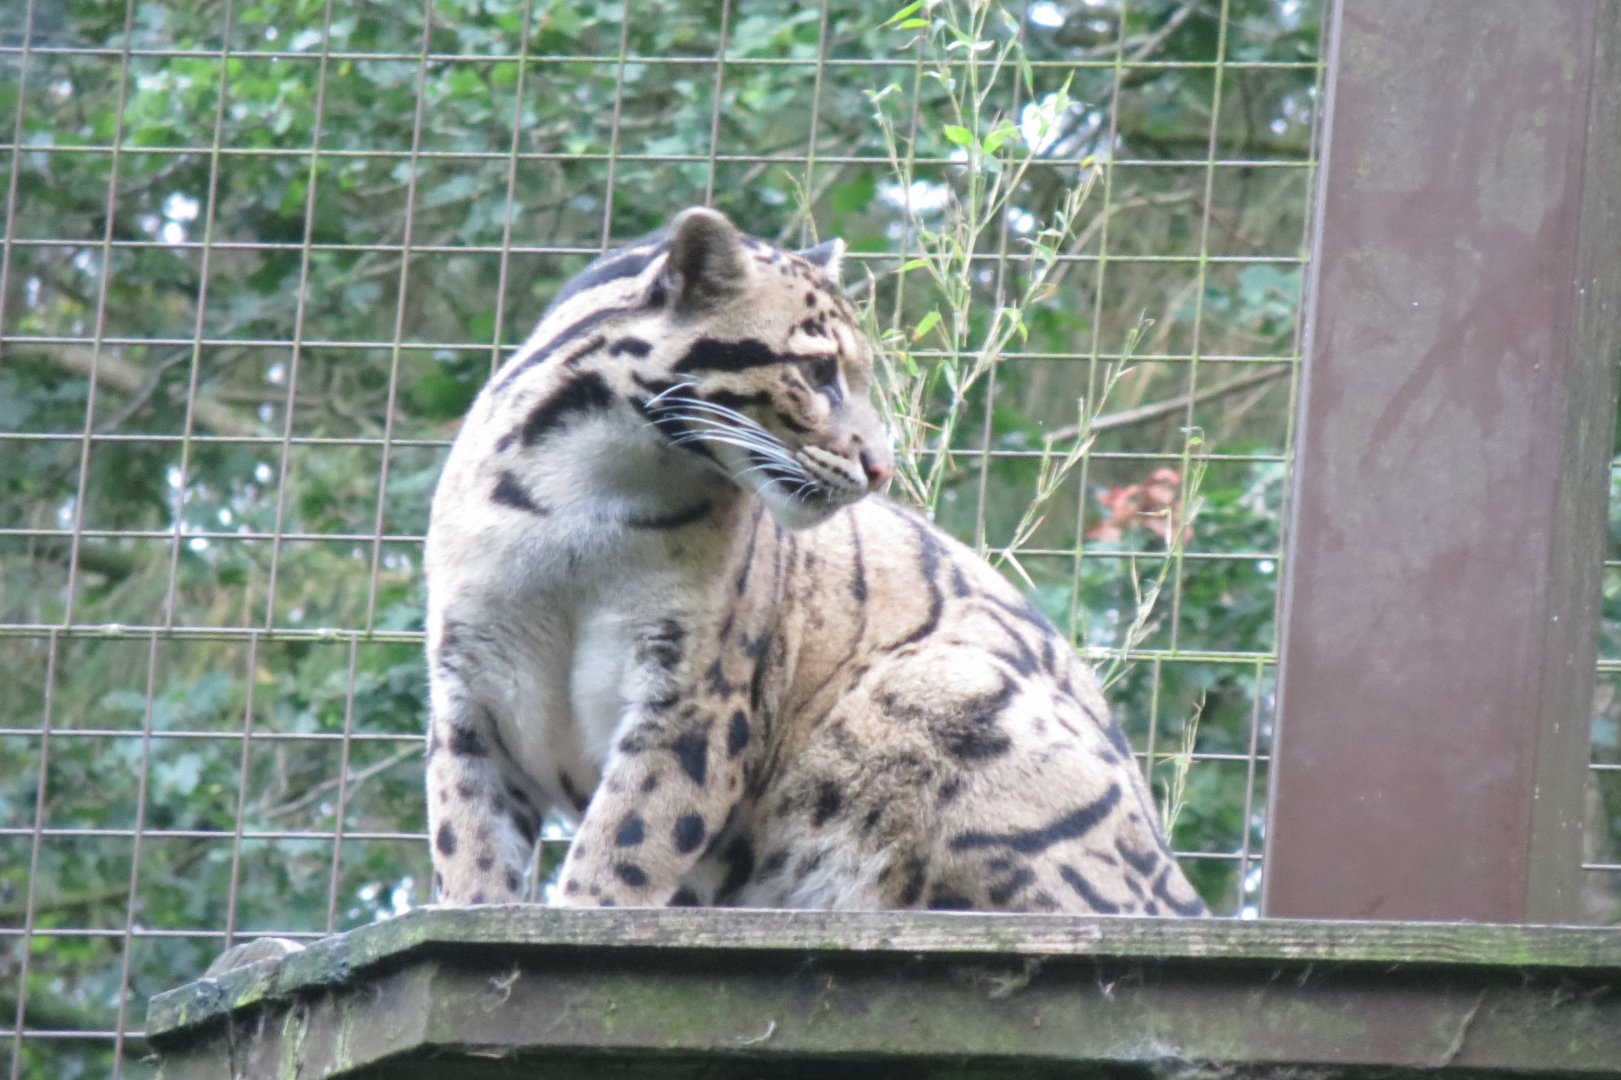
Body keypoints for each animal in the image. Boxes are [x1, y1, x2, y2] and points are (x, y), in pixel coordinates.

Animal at [423, 206, 1206, 916]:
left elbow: (628, 838)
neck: (587, 492)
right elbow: (469, 835)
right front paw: (471, 910)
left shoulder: (696, 696)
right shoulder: (469, 686)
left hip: (940, 687)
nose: (882, 467)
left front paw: (584, 915)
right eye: (818, 368)